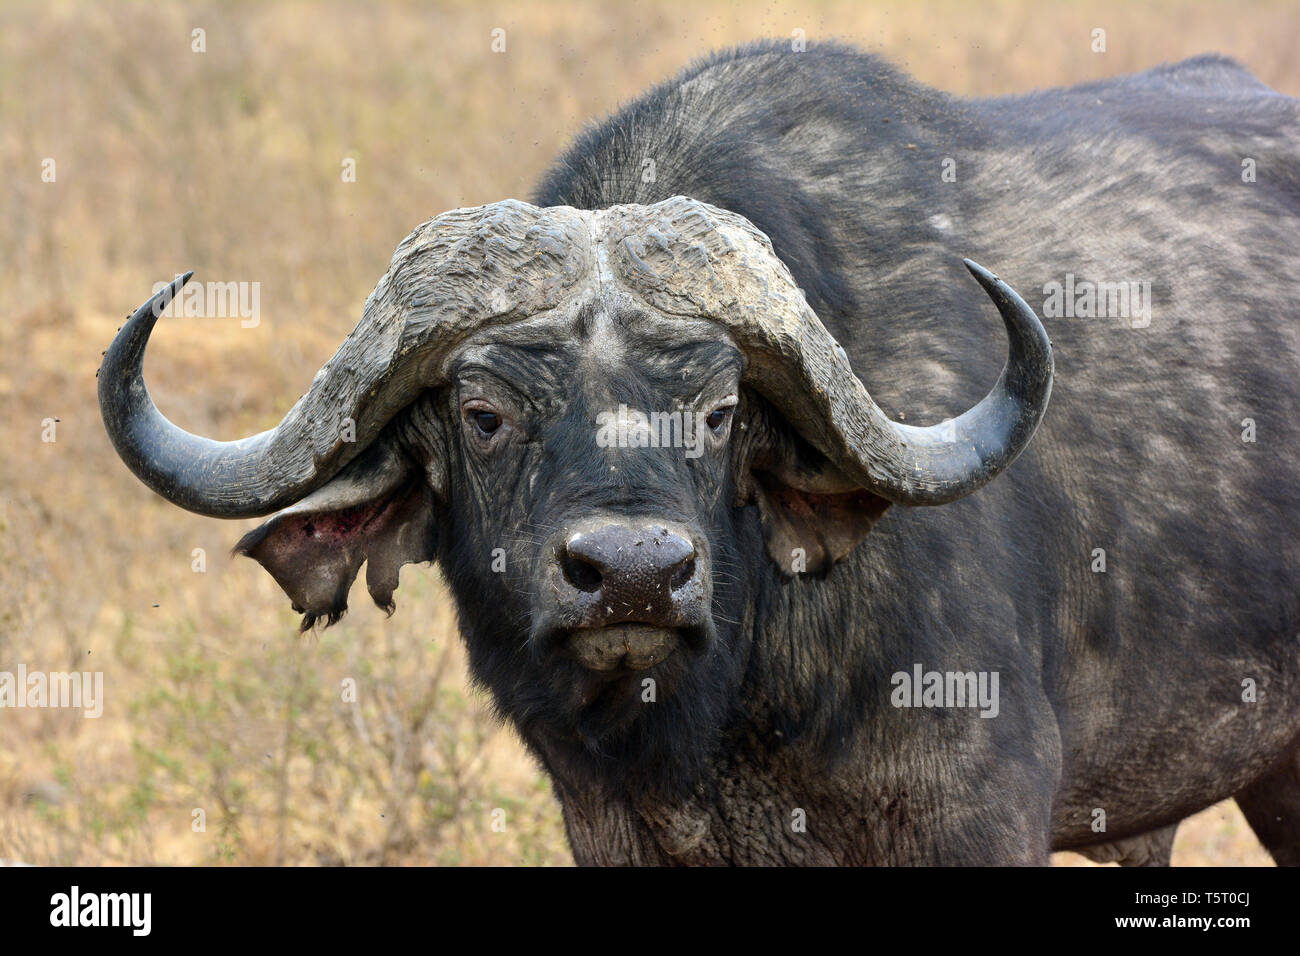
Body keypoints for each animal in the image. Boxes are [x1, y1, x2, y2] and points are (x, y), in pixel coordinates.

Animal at [98, 42, 1300, 868]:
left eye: (720, 413)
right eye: (483, 413)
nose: (632, 575)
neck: (719, 713)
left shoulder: (973, 815)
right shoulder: (610, 829)